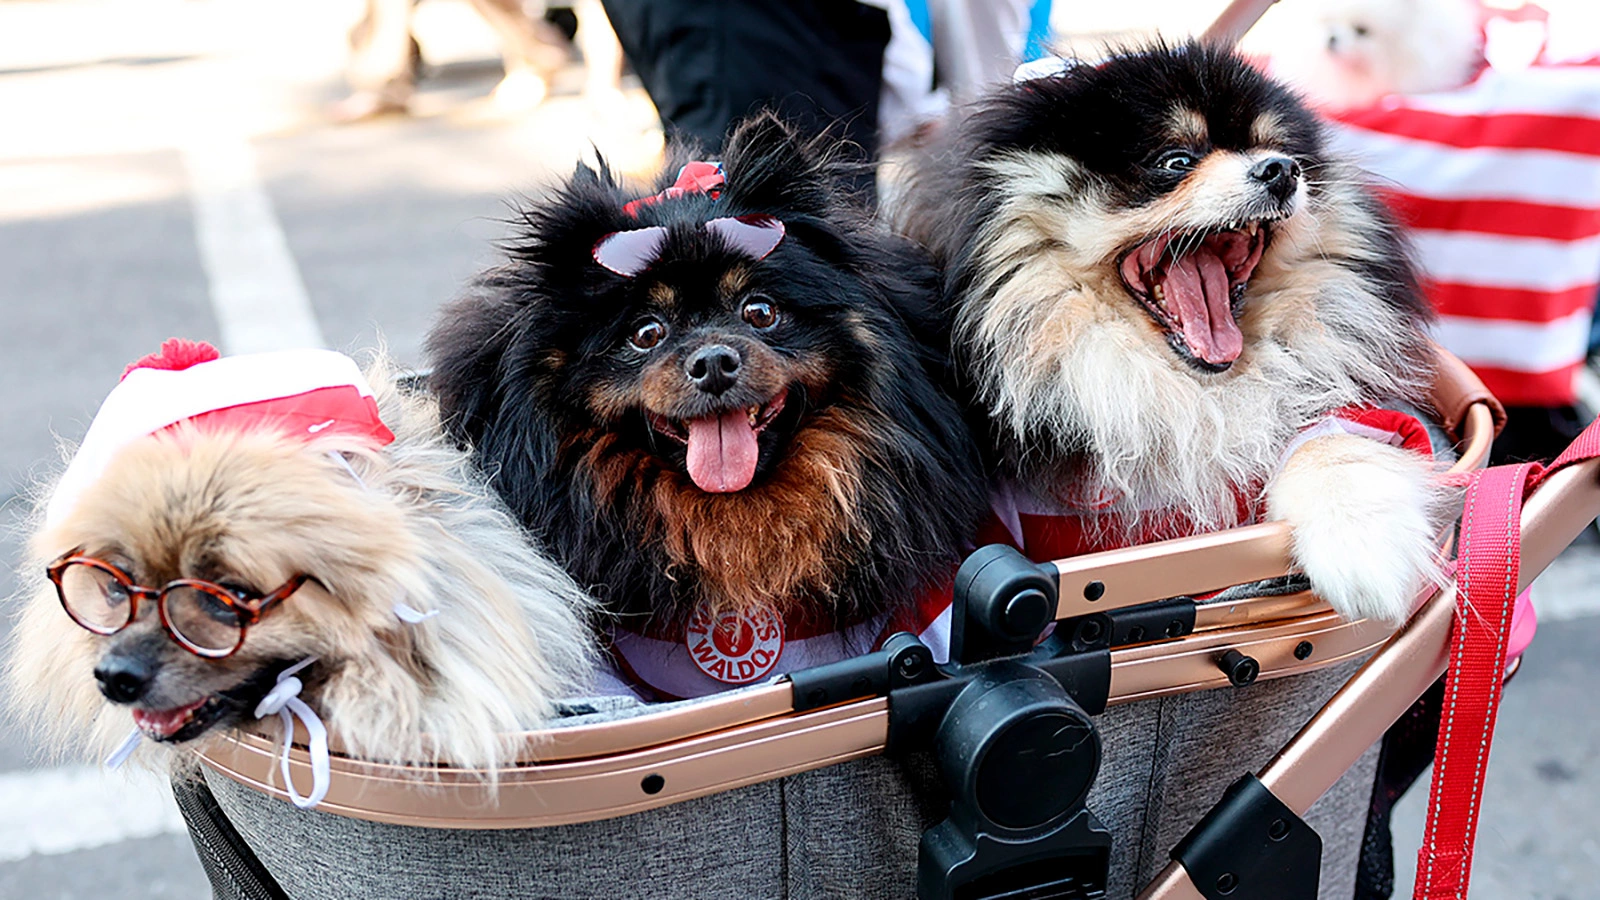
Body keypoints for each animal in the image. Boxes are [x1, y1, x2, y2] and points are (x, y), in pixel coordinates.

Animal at [896, 43, 1459, 624]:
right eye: (1176, 161)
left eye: (1280, 151)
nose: (1281, 170)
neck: (1193, 393)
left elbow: (1330, 442)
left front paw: (1365, 543)